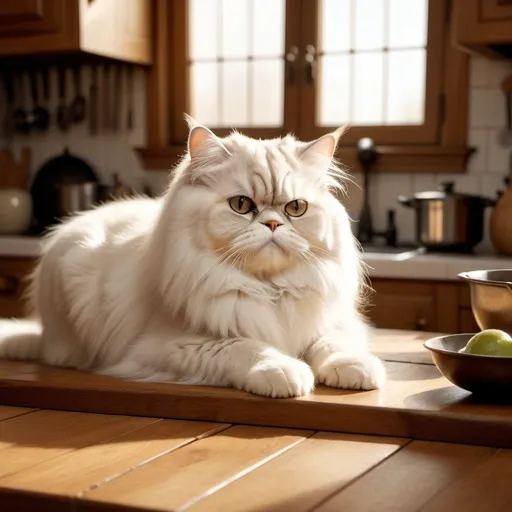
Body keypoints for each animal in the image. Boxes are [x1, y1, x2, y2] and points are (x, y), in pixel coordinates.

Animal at [0, 119, 384, 396]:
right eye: (241, 205)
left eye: (296, 208)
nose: (273, 223)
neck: (268, 290)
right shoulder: (166, 347)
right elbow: (247, 347)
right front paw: (285, 372)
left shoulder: (333, 322)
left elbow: (334, 344)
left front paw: (356, 370)